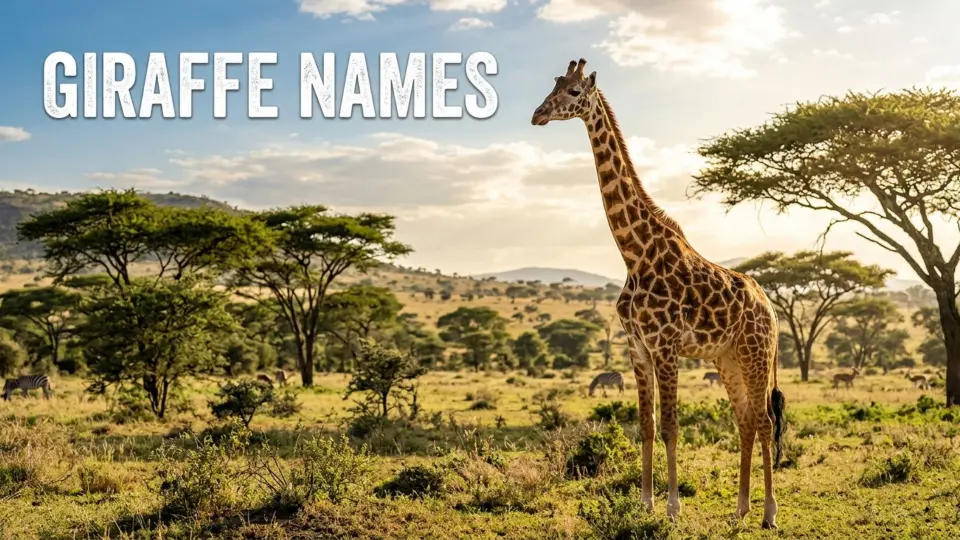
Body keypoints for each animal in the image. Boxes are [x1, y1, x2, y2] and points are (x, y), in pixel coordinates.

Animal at [530, 58, 787, 529]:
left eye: (574, 92)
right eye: (554, 84)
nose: (537, 114)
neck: (634, 254)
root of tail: (771, 309)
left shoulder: (665, 346)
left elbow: (670, 425)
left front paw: (671, 507)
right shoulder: (637, 347)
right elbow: (646, 425)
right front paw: (646, 503)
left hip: (756, 353)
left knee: (762, 420)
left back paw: (768, 513)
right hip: (726, 358)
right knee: (744, 419)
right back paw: (741, 508)